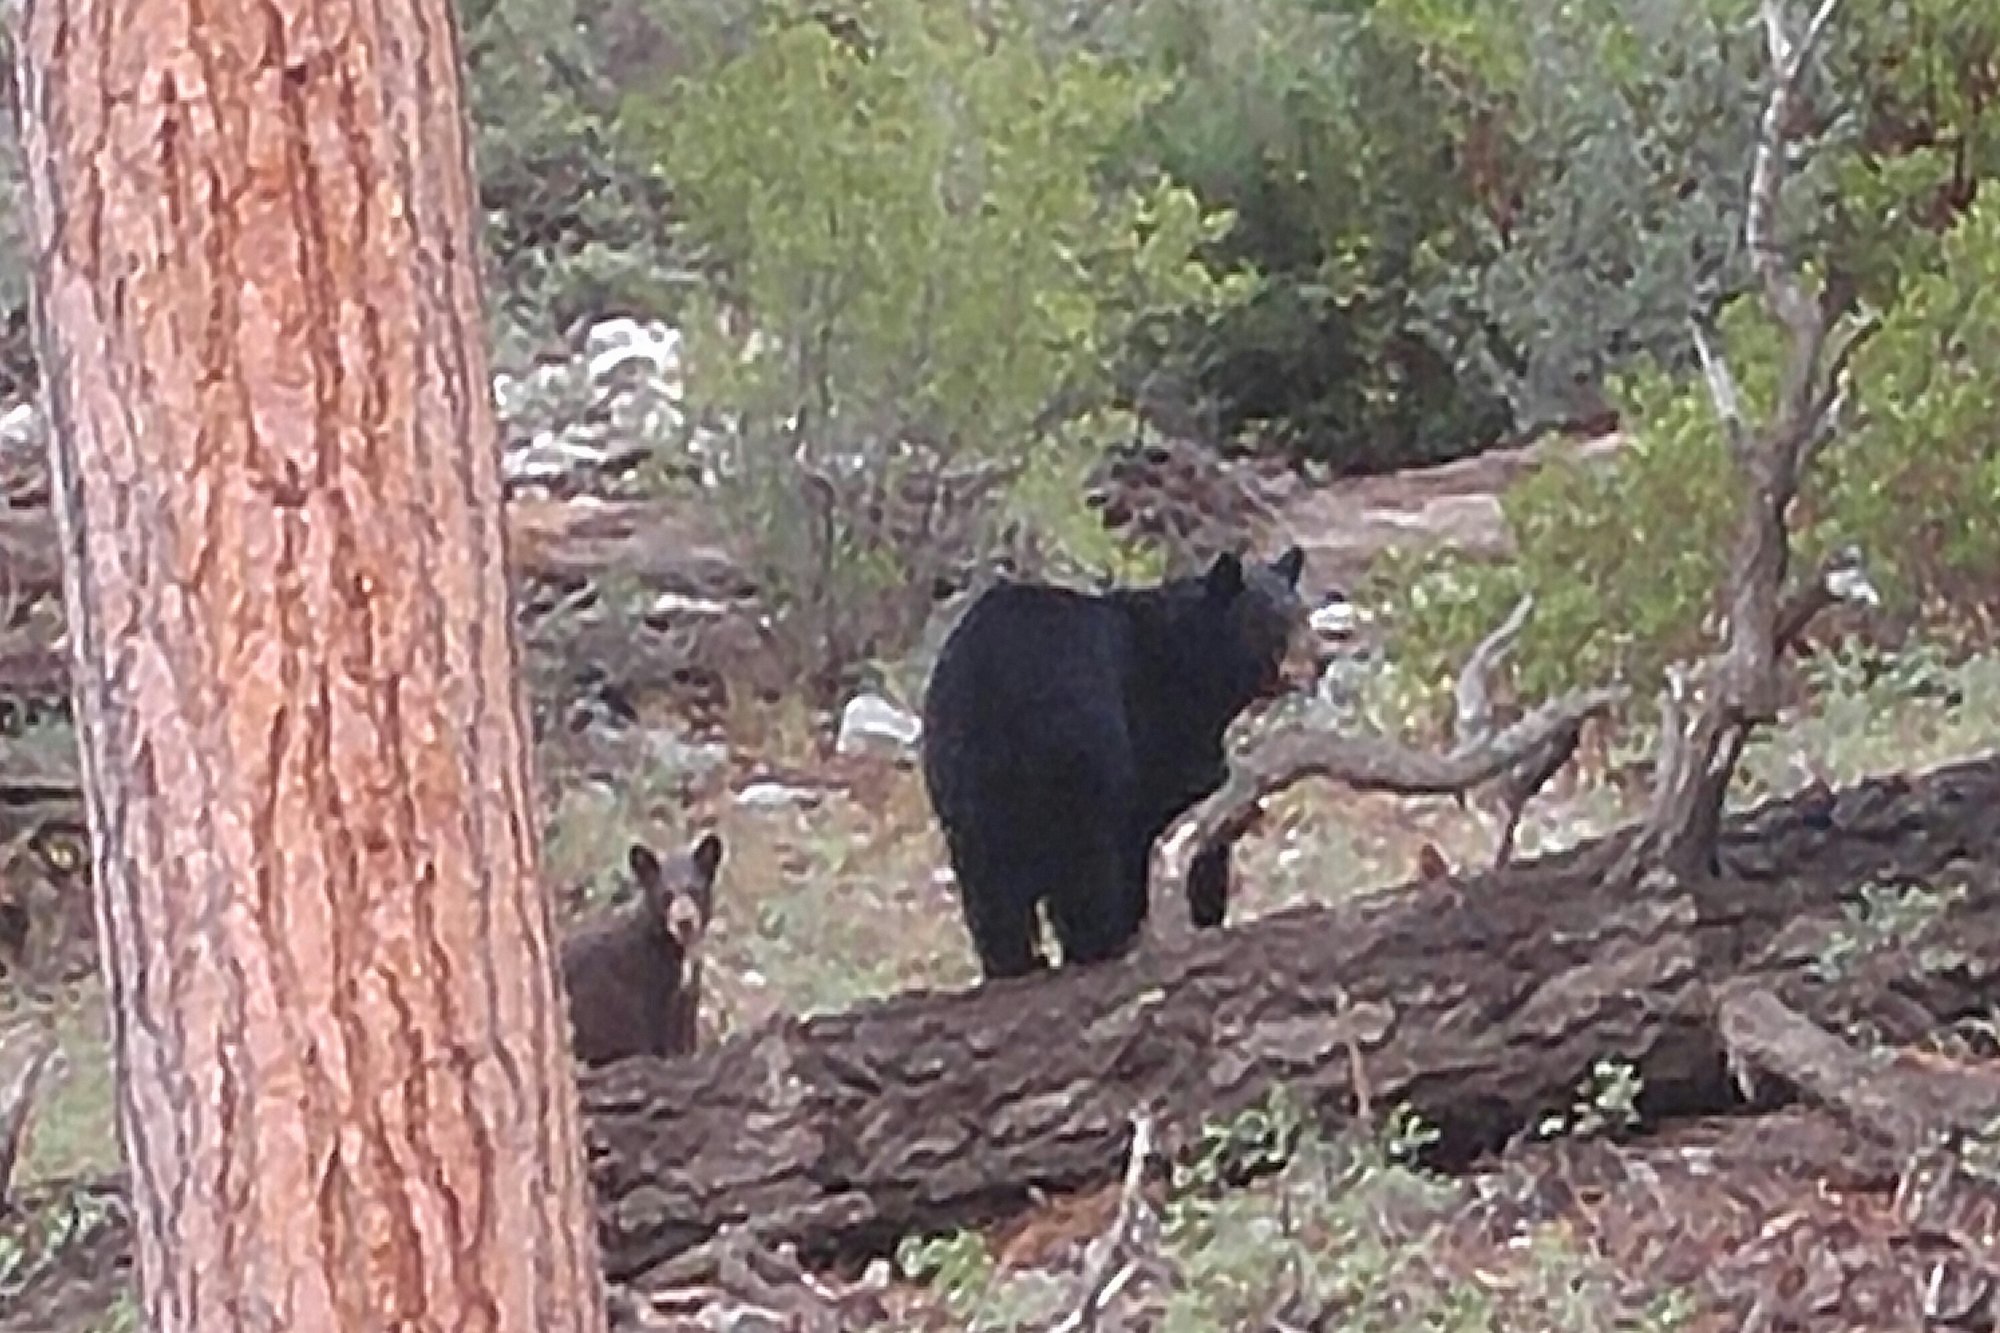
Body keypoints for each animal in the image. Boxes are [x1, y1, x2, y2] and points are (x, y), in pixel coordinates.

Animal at [916, 544, 1304, 980]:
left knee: (989, 888)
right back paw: (1099, 945)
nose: (1316, 657)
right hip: (1081, 755)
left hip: (960, 783)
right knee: (1085, 864)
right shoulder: (1159, 732)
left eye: (1301, 612)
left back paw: (1015, 964)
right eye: (1272, 621)